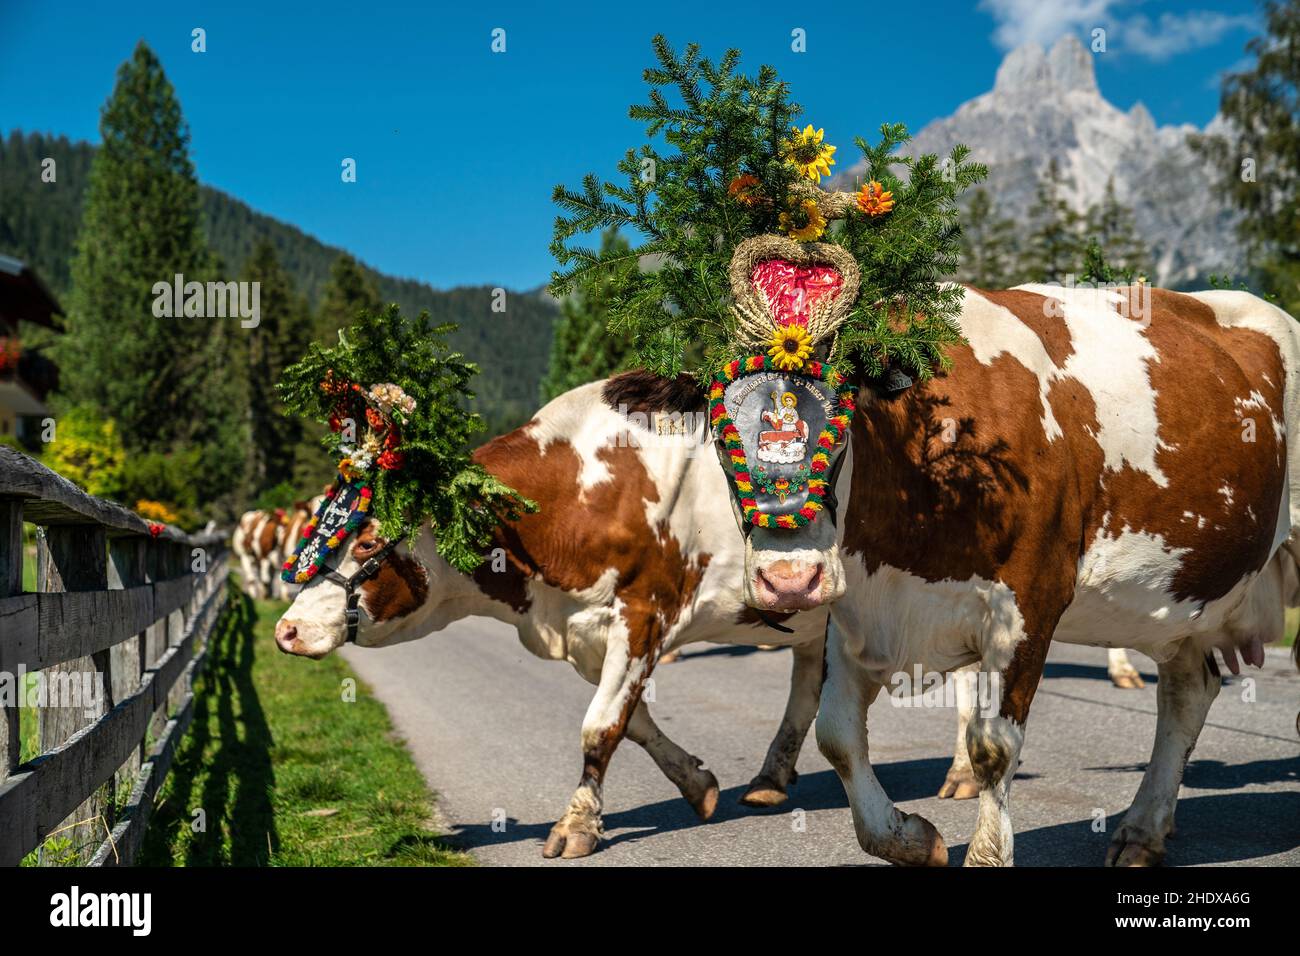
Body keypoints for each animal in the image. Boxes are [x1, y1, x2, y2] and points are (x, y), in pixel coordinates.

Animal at [273, 373, 833, 858]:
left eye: (367, 542)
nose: (286, 630)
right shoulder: (584, 634)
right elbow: (634, 721)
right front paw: (698, 784)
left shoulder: (643, 614)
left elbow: (601, 725)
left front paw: (577, 825)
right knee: (807, 690)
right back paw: (769, 781)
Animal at [771, 285, 1299, 867]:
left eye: (831, 423)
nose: (784, 577)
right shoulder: (856, 609)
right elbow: (838, 736)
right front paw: (913, 839)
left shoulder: (1029, 602)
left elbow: (992, 746)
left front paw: (986, 854)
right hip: (1185, 594)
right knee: (1189, 690)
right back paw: (1142, 831)